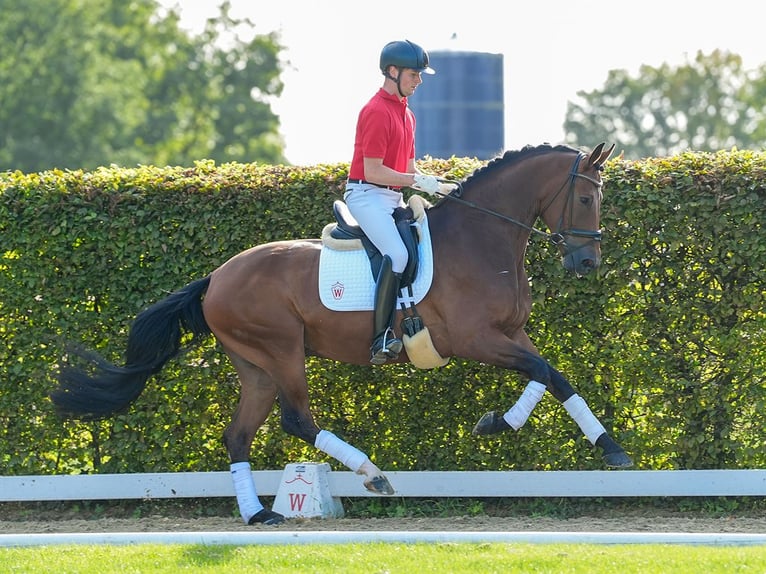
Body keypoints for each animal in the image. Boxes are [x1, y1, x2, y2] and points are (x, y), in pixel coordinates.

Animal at [51, 141, 632, 528]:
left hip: (255, 366)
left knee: (238, 435)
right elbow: (546, 372)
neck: (482, 236)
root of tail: (215, 277)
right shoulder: (475, 339)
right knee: (296, 419)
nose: (586, 262)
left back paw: (258, 515)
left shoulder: (511, 332)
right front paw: (604, 449)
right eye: (586, 199)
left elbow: (551, 376)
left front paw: (517, 426)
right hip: (282, 350)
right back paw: (371, 474)